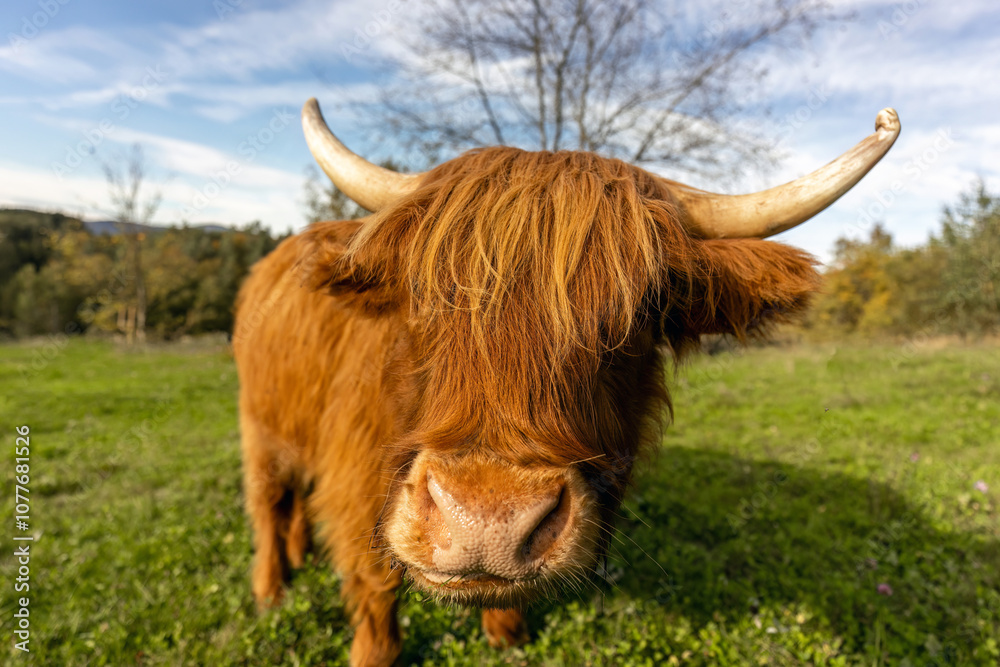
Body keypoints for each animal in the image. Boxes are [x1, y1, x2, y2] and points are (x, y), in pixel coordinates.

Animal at [233, 98, 900, 666]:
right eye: (419, 299)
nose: (485, 523)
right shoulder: (357, 478)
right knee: (268, 501)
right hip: (258, 425)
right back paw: (270, 589)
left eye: (643, 312)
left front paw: (508, 636)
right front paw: (373, 653)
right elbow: (374, 585)